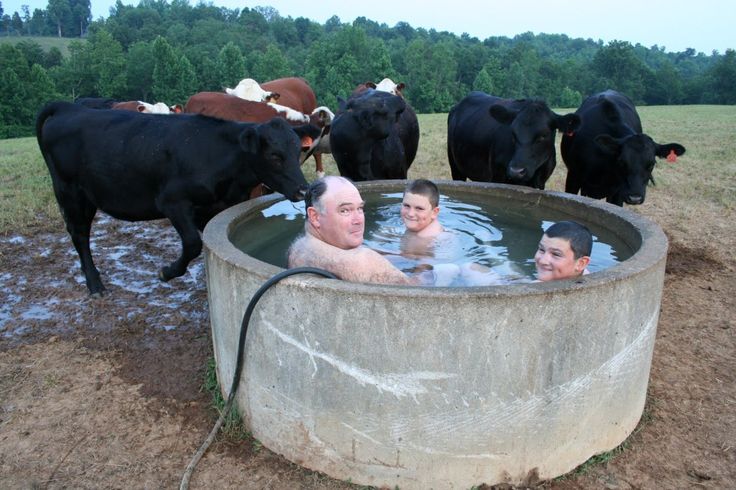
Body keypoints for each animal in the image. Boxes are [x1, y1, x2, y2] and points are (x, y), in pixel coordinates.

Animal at [37, 100, 314, 294]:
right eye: (274, 156)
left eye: (297, 151)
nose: (303, 190)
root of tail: (68, 107)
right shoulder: (172, 201)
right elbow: (192, 243)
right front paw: (168, 272)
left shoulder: (217, 206)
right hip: (71, 192)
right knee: (80, 235)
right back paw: (95, 284)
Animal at [442, 92, 580, 189]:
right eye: (513, 133)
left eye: (543, 135)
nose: (516, 171)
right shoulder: (497, 177)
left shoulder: (541, 183)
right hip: (455, 166)